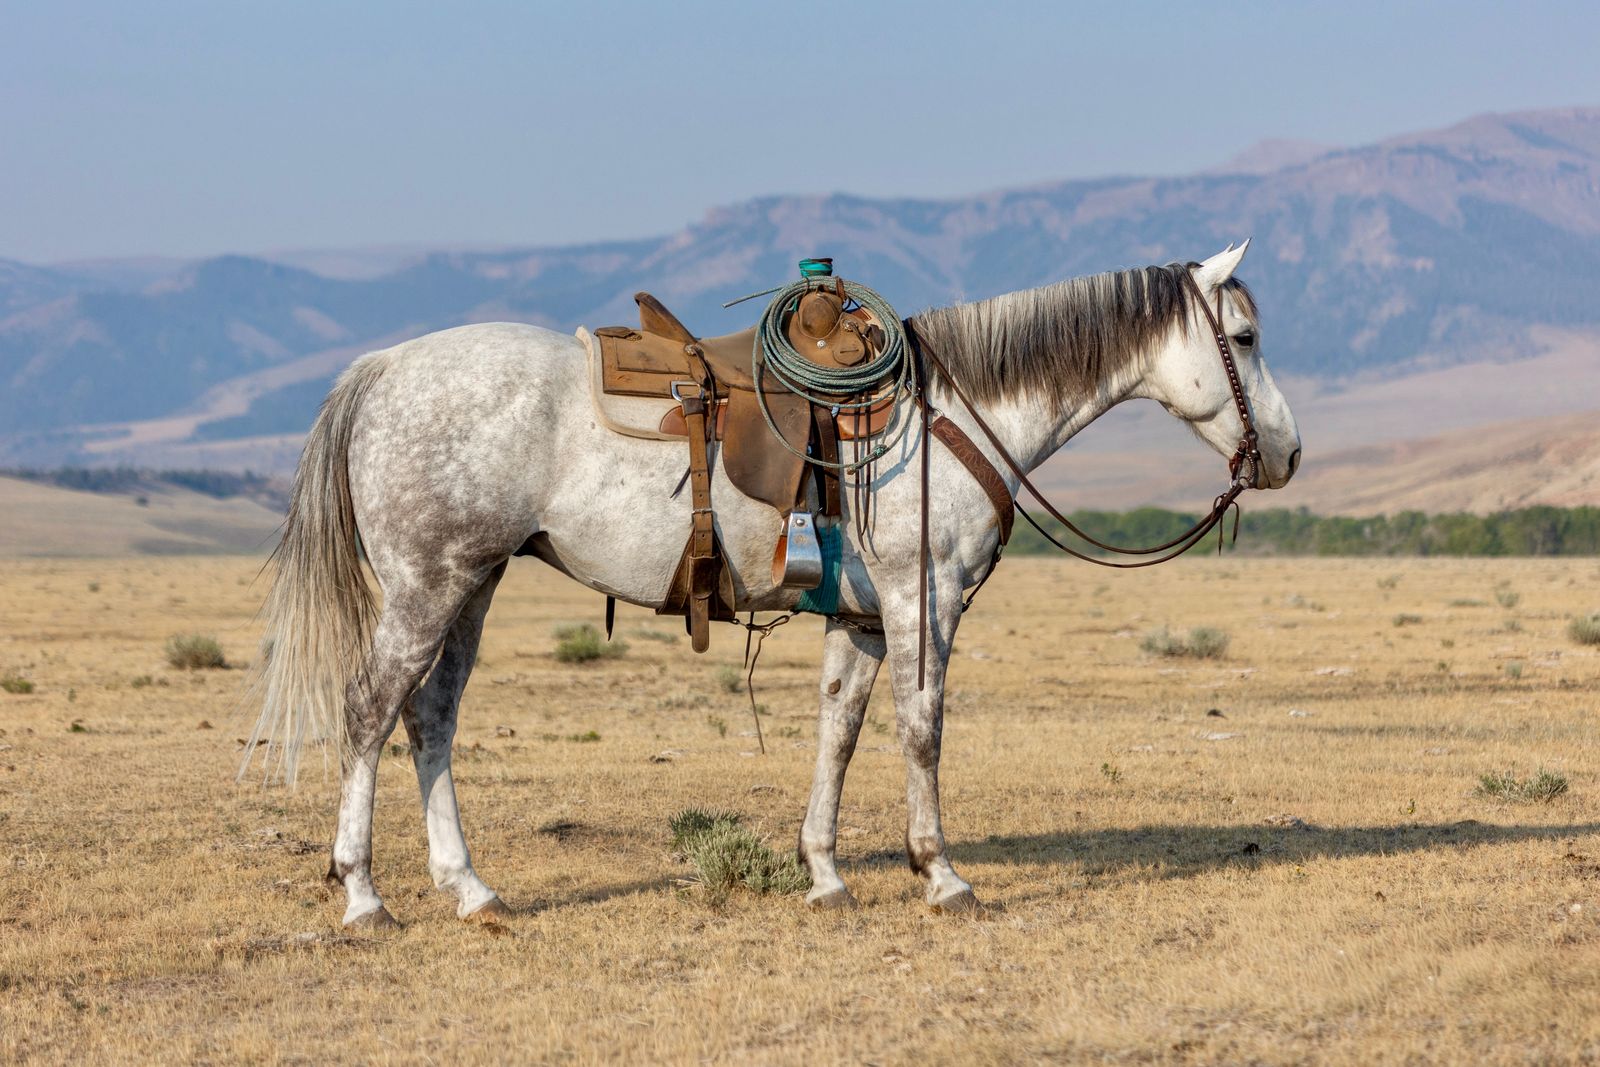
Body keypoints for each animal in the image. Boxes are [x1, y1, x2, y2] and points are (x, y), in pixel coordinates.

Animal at [244, 241, 1302, 927]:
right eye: (1246, 337)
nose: (1287, 453)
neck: (955, 412)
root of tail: (382, 368)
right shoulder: (924, 600)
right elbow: (922, 730)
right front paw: (942, 874)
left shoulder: (863, 618)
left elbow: (839, 730)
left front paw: (825, 873)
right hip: (428, 584)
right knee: (370, 709)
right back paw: (364, 894)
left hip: (474, 582)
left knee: (430, 717)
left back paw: (470, 889)